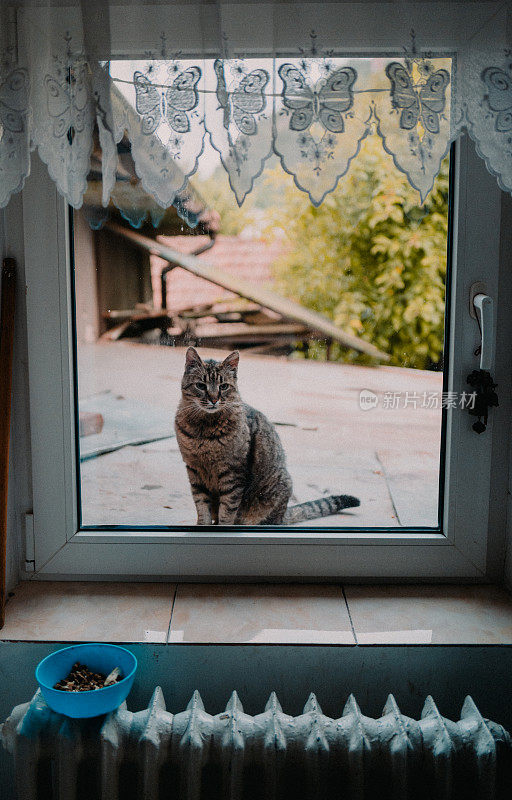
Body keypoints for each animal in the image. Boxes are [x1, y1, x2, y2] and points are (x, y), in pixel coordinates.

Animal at [174, 346, 358, 524]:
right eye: (201, 385)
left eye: (224, 386)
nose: (213, 400)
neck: (204, 430)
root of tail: (284, 513)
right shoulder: (194, 471)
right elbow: (202, 507)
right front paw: (202, 525)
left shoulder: (233, 475)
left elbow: (227, 512)